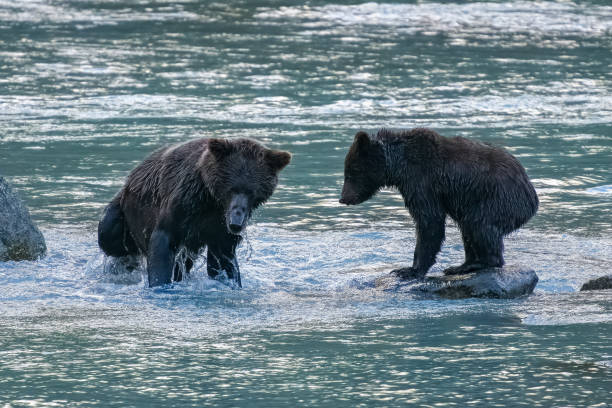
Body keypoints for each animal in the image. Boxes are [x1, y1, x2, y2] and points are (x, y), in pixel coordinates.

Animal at [97, 137, 292, 286]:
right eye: (231, 189)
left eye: (252, 192)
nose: (236, 222)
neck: (212, 200)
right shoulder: (183, 204)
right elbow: (163, 242)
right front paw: (161, 284)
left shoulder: (219, 227)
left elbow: (223, 260)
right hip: (124, 211)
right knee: (110, 235)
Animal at [342, 128, 536, 280]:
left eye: (351, 172)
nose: (343, 198)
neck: (398, 165)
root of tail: (531, 194)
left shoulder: (421, 181)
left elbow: (429, 221)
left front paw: (409, 270)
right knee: (468, 229)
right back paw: (461, 264)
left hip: (497, 198)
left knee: (479, 224)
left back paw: (475, 264)